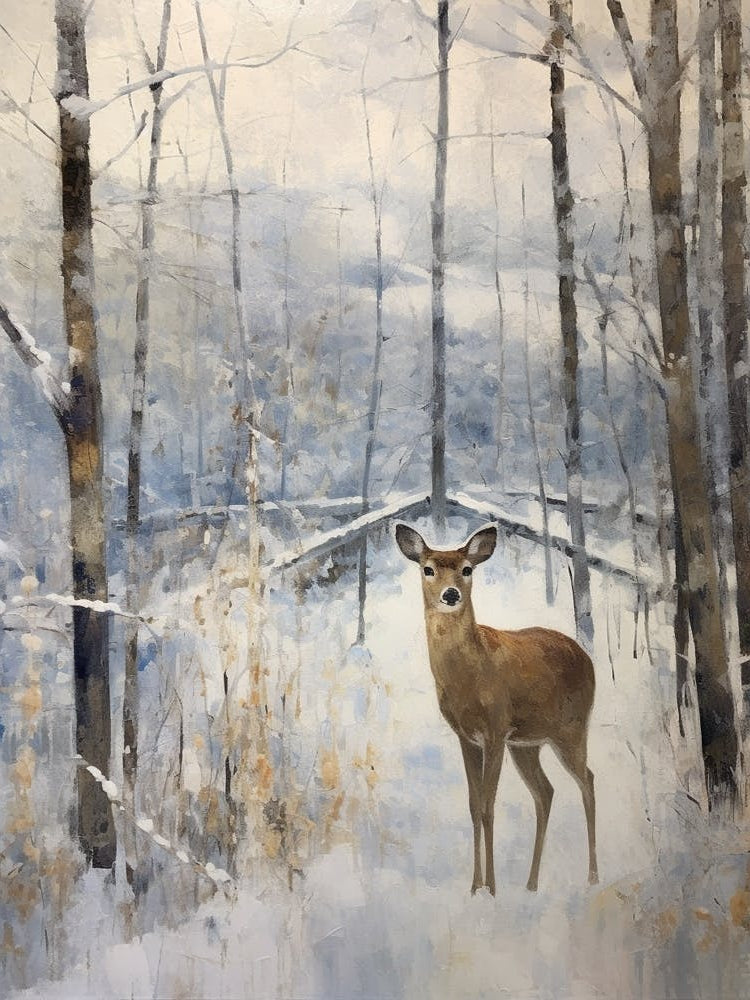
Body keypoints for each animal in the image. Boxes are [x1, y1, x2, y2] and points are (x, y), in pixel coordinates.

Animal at [395, 522, 597, 896]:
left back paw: (592, 876)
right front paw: (476, 887)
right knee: (546, 792)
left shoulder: (495, 729)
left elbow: (489, 806)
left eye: (467, 569)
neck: (468, 676)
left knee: (587, 780)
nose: (450, 595)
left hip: (572, 727)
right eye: (427, 569)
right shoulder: (467, 737)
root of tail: (585, 656)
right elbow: (474, 805)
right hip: (528, 744)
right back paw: (531, 884)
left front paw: (491, 889)